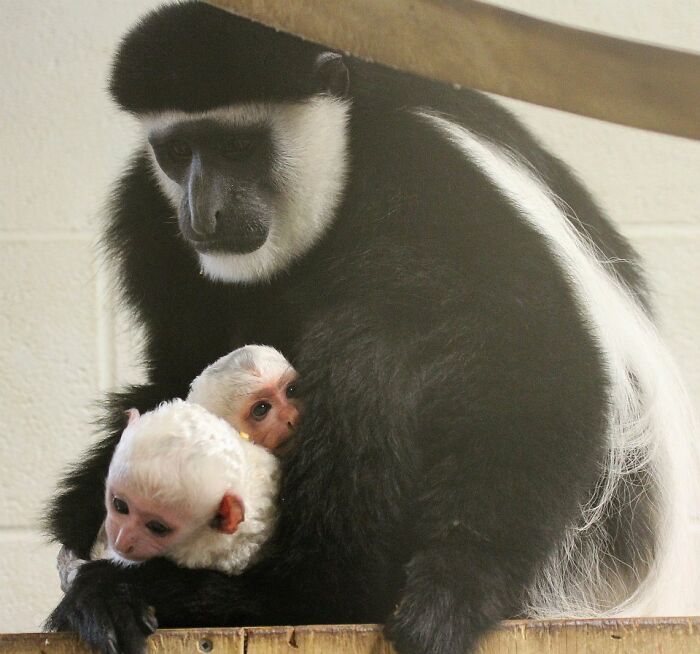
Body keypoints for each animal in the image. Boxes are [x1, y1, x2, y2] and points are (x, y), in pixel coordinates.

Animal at [45, 3, 700, 654]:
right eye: (178, 151)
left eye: (237, 147)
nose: (202, 214)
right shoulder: (146, 213)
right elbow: (181, 367)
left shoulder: (443, 182)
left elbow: (532, 352)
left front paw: (455, 589)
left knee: (372, 346)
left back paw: (297, 593)